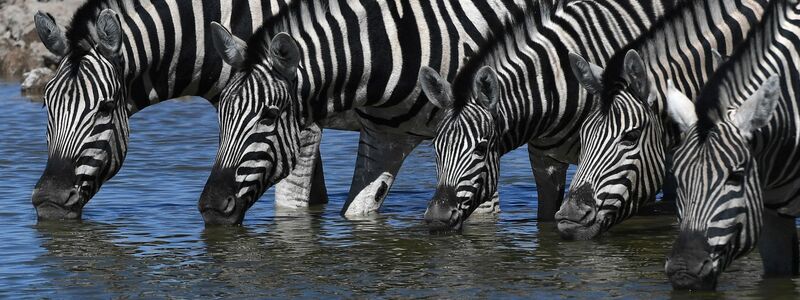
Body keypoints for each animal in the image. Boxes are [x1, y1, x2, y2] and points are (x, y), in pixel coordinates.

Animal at [197, 0, 552, 225]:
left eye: (269, 116)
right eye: (220, 115)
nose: (211, 206)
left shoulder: (477, 146)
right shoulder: (384, 137)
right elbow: (357, 210)